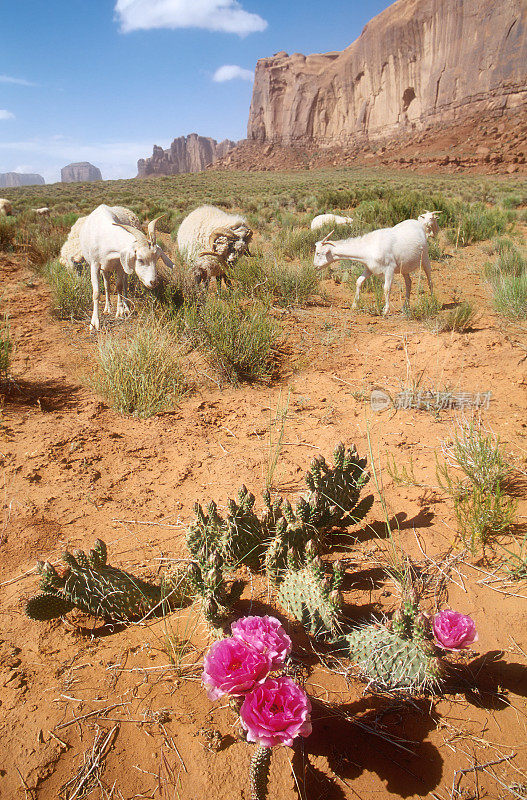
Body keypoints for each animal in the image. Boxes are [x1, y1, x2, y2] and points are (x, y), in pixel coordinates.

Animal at [79, 206, 173, 334]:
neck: (105, 236)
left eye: (157, 258)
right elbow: (97, 292)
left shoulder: (120, 264)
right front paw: (94, 323)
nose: (153, 282)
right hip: (104, 269)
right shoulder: (94, 265)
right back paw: (107, 308)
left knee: (124, 284)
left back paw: (126, 306)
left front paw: (120, 311)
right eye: (140, 259)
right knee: (107, 285)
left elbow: (119, 286)